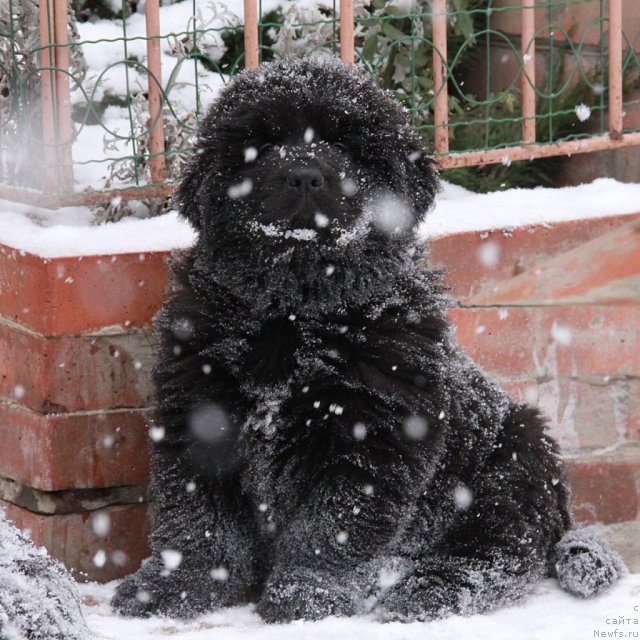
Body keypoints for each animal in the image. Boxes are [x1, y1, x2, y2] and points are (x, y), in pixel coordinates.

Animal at [111, 57, 624, 624]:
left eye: (345, 142)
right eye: (260, 143)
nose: (304, 174)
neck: (296, 309)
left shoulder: (370, 434)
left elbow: (331, 527)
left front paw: (306, 599)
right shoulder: (199, 409)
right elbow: (197, 517)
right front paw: (173, 590)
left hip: (511, 462)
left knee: (497, 555)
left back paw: (425, 592)